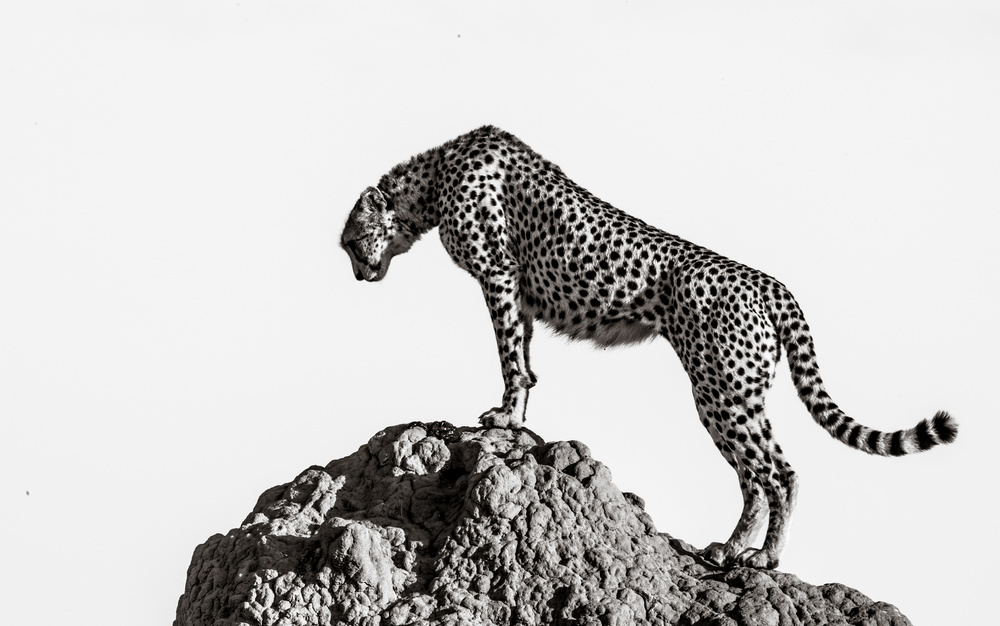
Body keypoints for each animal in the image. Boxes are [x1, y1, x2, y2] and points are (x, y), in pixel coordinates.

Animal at [340, 125, 958, 569]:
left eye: (349, 240)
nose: (358, 275)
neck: (433, 176)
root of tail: (772, 284)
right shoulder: (521, 295)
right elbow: (526, 361)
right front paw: (518, 417)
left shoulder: (499, 276)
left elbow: (510, 357)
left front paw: (503, 418)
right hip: (735, 395)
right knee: (755, 476)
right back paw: (732, 548)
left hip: (720, 390)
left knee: (777, 471)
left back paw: (765, 557)